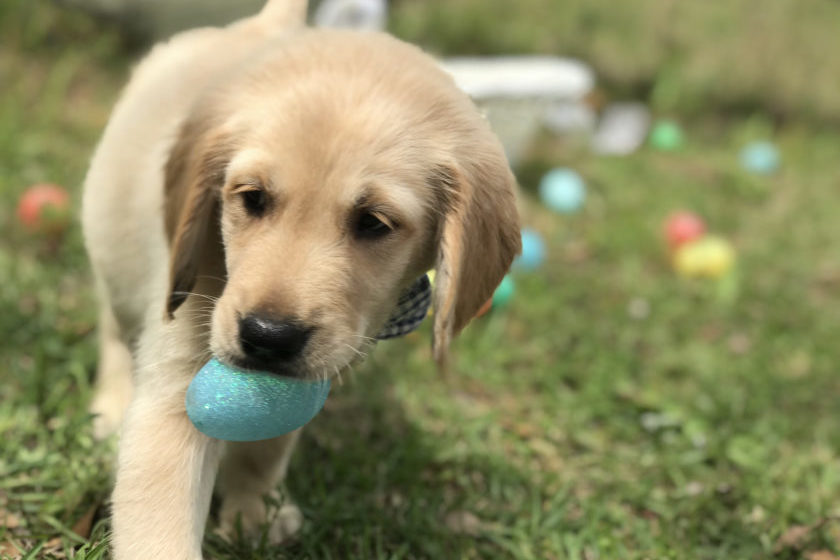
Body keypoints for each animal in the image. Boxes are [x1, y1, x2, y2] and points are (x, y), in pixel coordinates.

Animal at [82, 2, 520, 556]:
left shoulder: (304, 374)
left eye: (374, 223)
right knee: (113, 329)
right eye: (252, 198)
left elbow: (266, 443)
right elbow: (160, 526)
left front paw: (254, 510)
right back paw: (112, 405)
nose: (268, 336)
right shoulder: (177, 382)